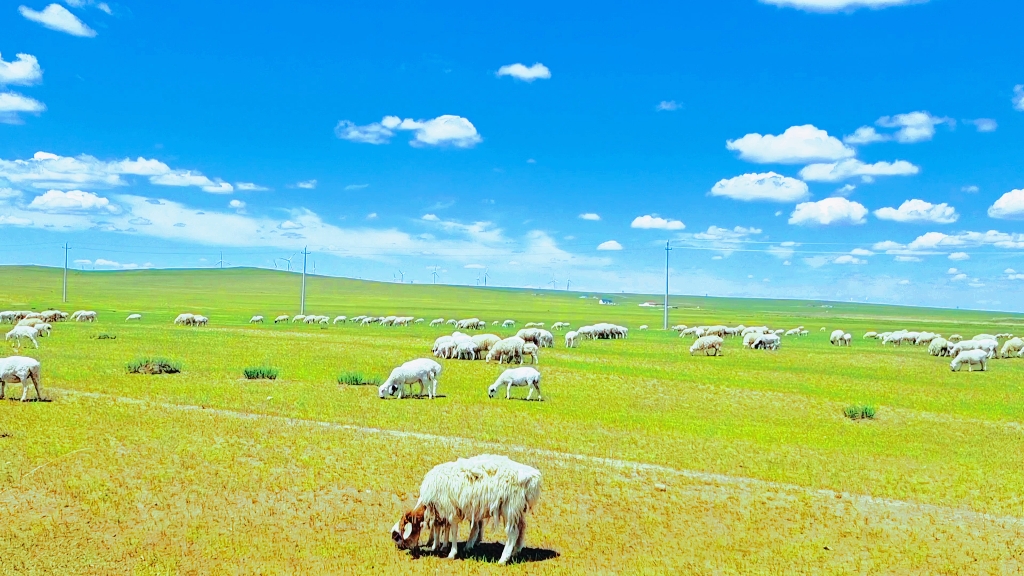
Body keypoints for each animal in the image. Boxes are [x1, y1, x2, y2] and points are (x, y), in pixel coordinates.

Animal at [389, 450, 544, 561]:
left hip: (510, 507)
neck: (427, 504)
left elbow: (453, 530)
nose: (400, 548)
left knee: (512, 533)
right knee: (522, 528)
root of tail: (533, 477)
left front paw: (451, 553)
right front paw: (440, 546)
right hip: (518, 509)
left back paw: (503, 559)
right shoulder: (442, 511)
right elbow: (442, 528)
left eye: (397, 536)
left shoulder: (450, 510)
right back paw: (516, 552)